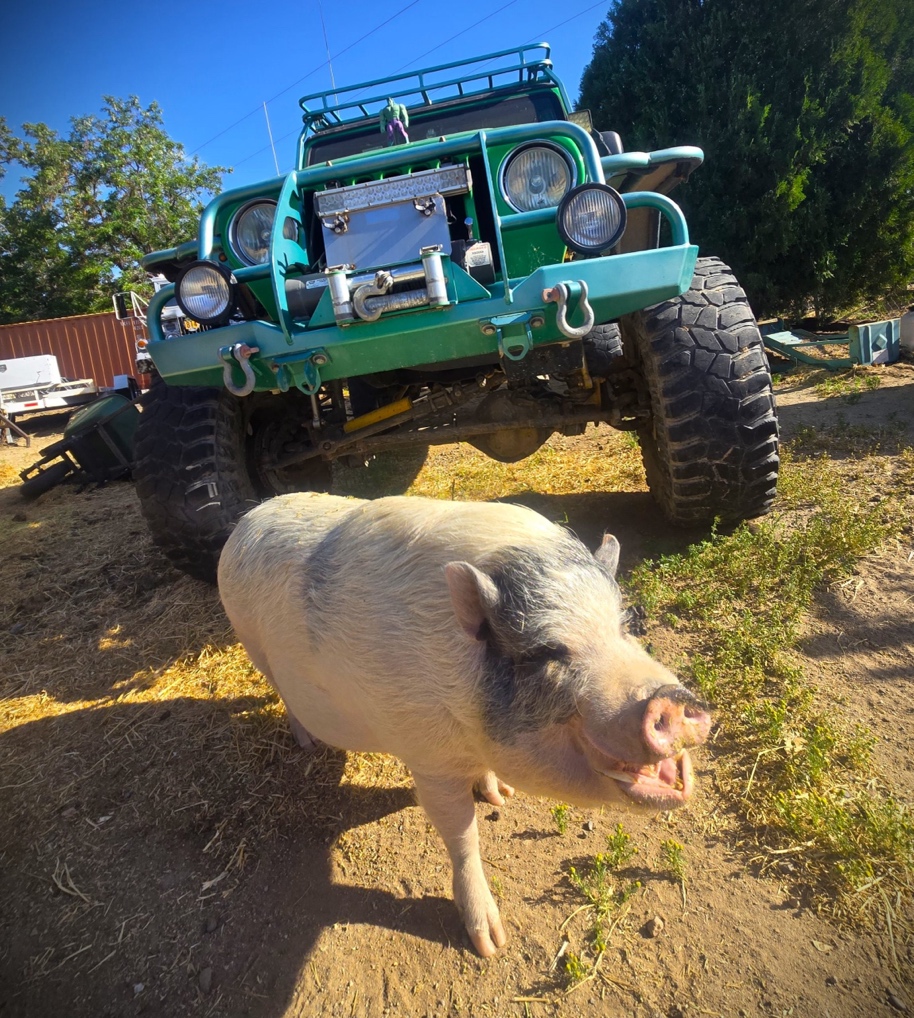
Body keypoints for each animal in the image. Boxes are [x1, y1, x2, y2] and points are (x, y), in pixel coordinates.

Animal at [218, 492, 711, 957]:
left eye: (624, 626)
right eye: (544, 653)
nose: (674, 702)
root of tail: (245, 521)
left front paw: (500, 796)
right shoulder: (428, 759)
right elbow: (461, 835)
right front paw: (491, 944)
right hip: (251, 644)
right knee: (283, 695)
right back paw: (308, 745)